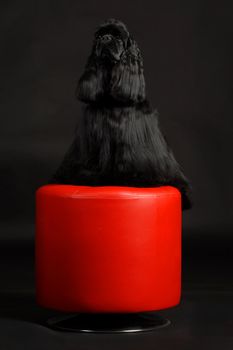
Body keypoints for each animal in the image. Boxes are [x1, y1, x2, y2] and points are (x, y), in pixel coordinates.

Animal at [49, 19, 193, 209]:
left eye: (117, 36)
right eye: (98, 36)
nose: (105, 38)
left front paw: (132, 178)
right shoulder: (92, 139)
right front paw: (85, 176)